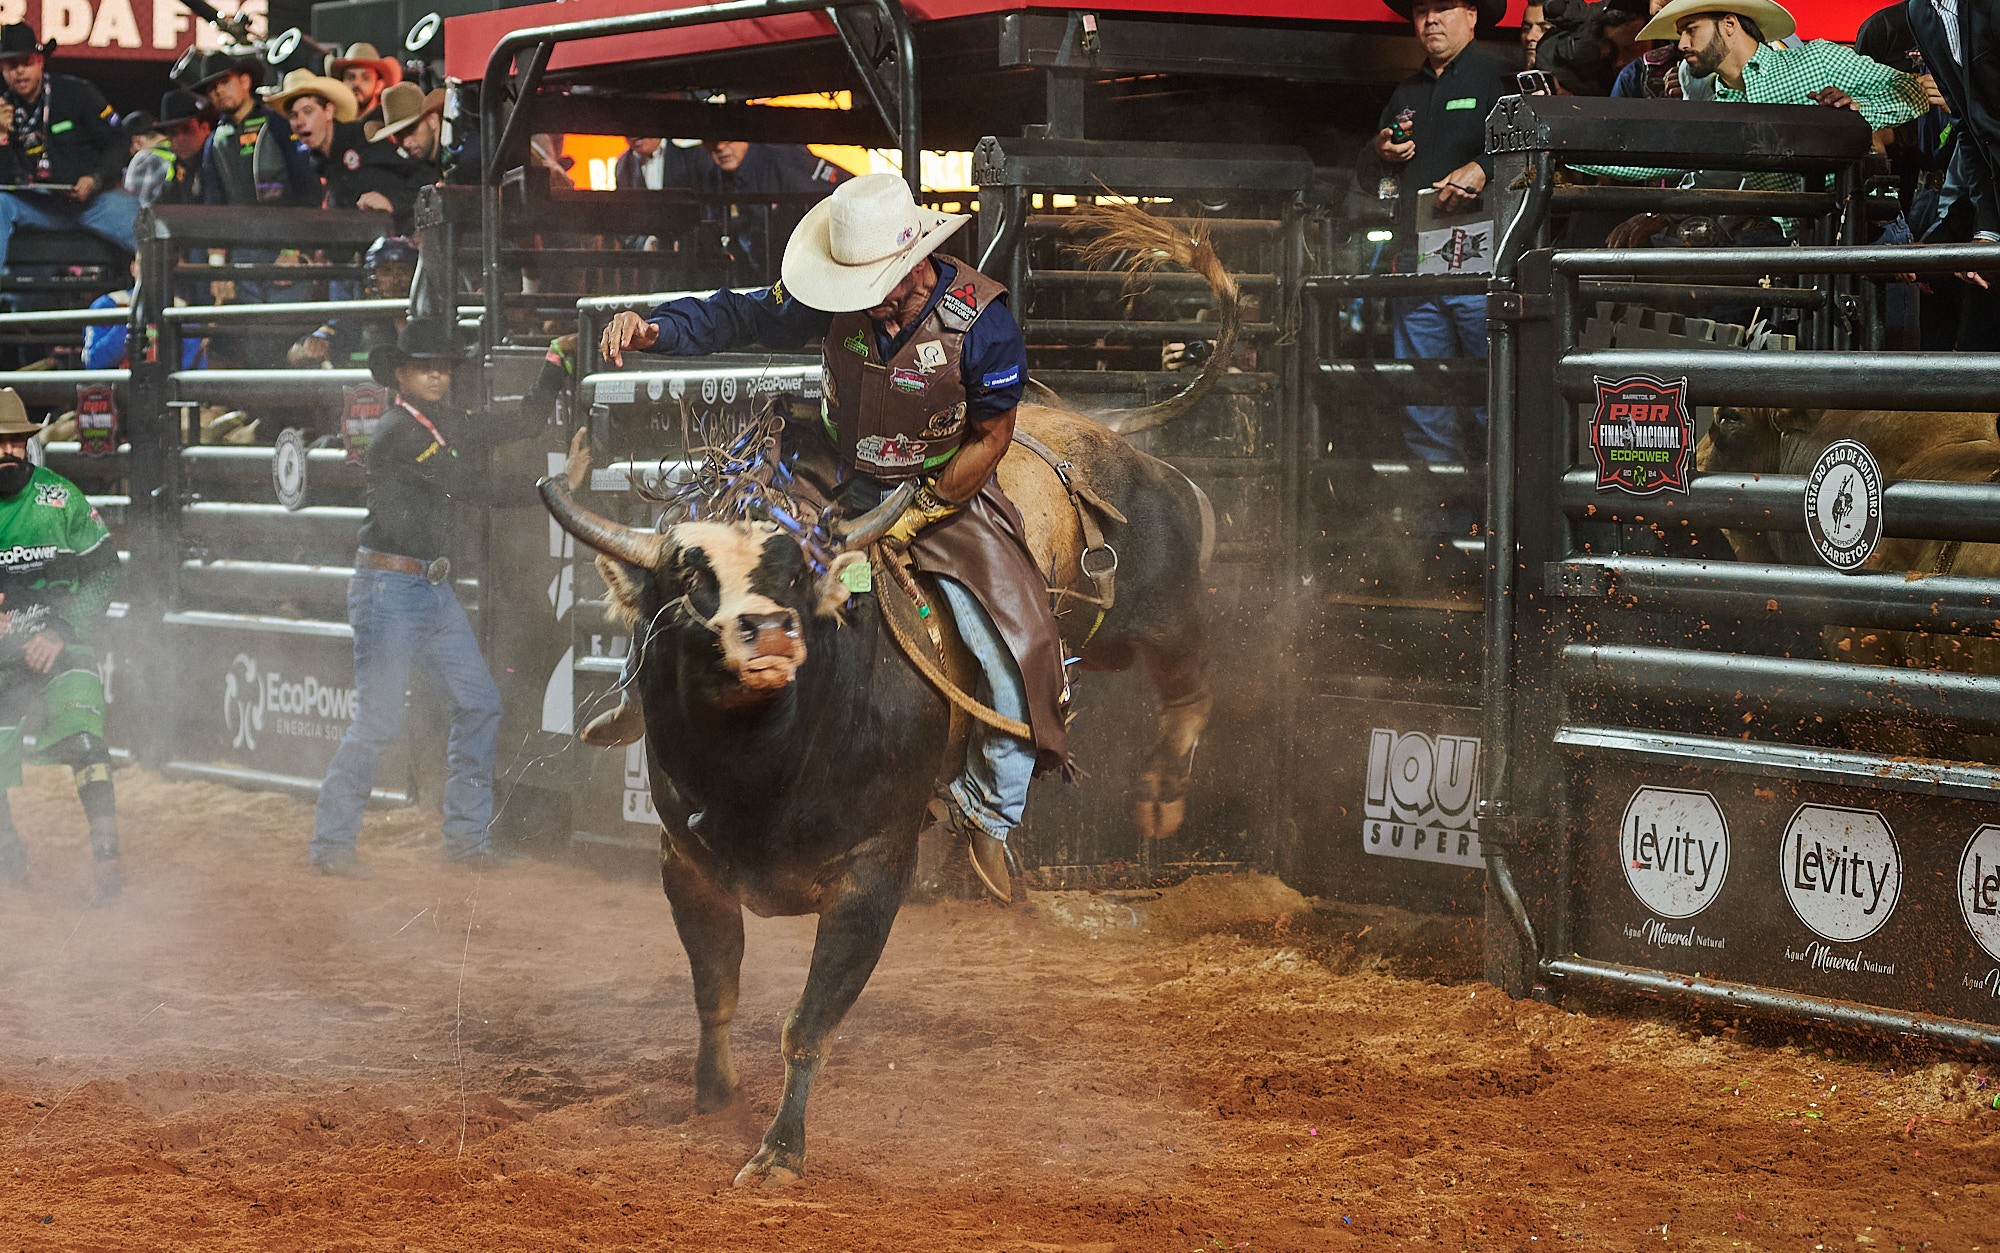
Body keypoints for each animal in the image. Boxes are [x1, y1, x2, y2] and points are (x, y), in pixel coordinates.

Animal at [540, 202, 1224, 1176]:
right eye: (687, 585)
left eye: (802, 579)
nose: (765, 633)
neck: (764, 767)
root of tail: (1094, 427)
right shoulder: (687, 861)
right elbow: (716, 990)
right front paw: (711, 1096)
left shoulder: (875, 873)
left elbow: (808, 1022)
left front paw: (779, 1150)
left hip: (1148, 598)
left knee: (1189, 661)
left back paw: (1161, 791)